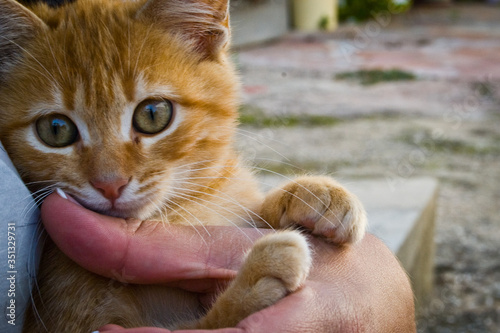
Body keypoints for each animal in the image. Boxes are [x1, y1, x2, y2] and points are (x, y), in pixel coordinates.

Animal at [0, 0, 368, 328]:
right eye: (55, 129)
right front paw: (253, 284)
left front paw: (311, 196)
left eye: (152, 114)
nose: (110, 184)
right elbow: (199, 327)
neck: (181, 212)